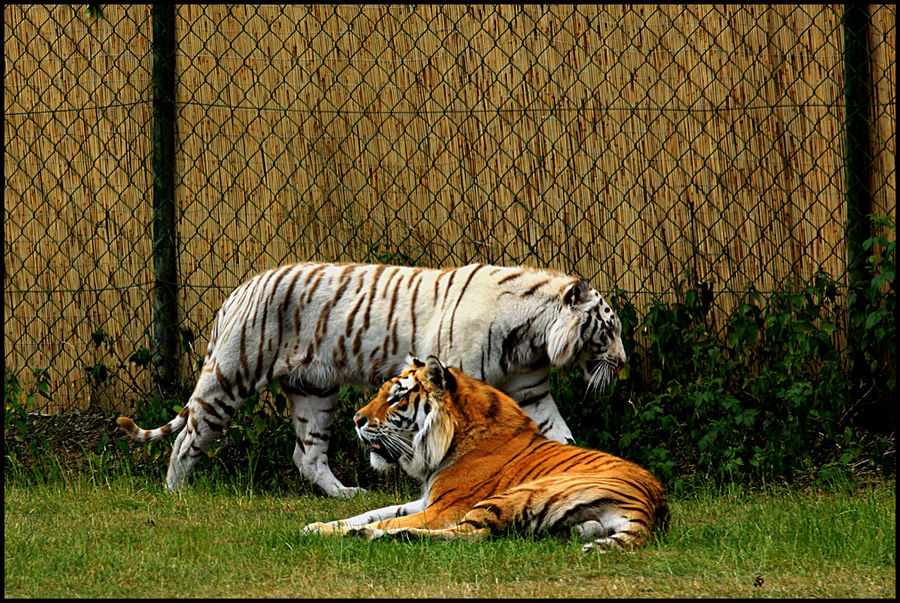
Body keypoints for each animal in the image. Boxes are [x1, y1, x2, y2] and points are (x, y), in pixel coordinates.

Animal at [118, 262, 624, 498]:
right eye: (610, 329)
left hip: (314, 390)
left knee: (307, 454)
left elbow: (560, 437)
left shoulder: (532, 391)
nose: (621, 364)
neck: (532, 337)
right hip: (231, 375)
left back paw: (344, 493)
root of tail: (238, 291)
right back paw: (175, 492)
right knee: (186, 438)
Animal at [306, 356, 664, 556]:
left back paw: (376, 536)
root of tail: (651, 504)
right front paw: (319, 524)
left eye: (396, 398)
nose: (355, 419)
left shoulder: (443, 509)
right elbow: (373, 511)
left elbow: (390, 517)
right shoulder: (427, 500)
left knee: (473, 535)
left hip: (514, 494)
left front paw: (326, 531)